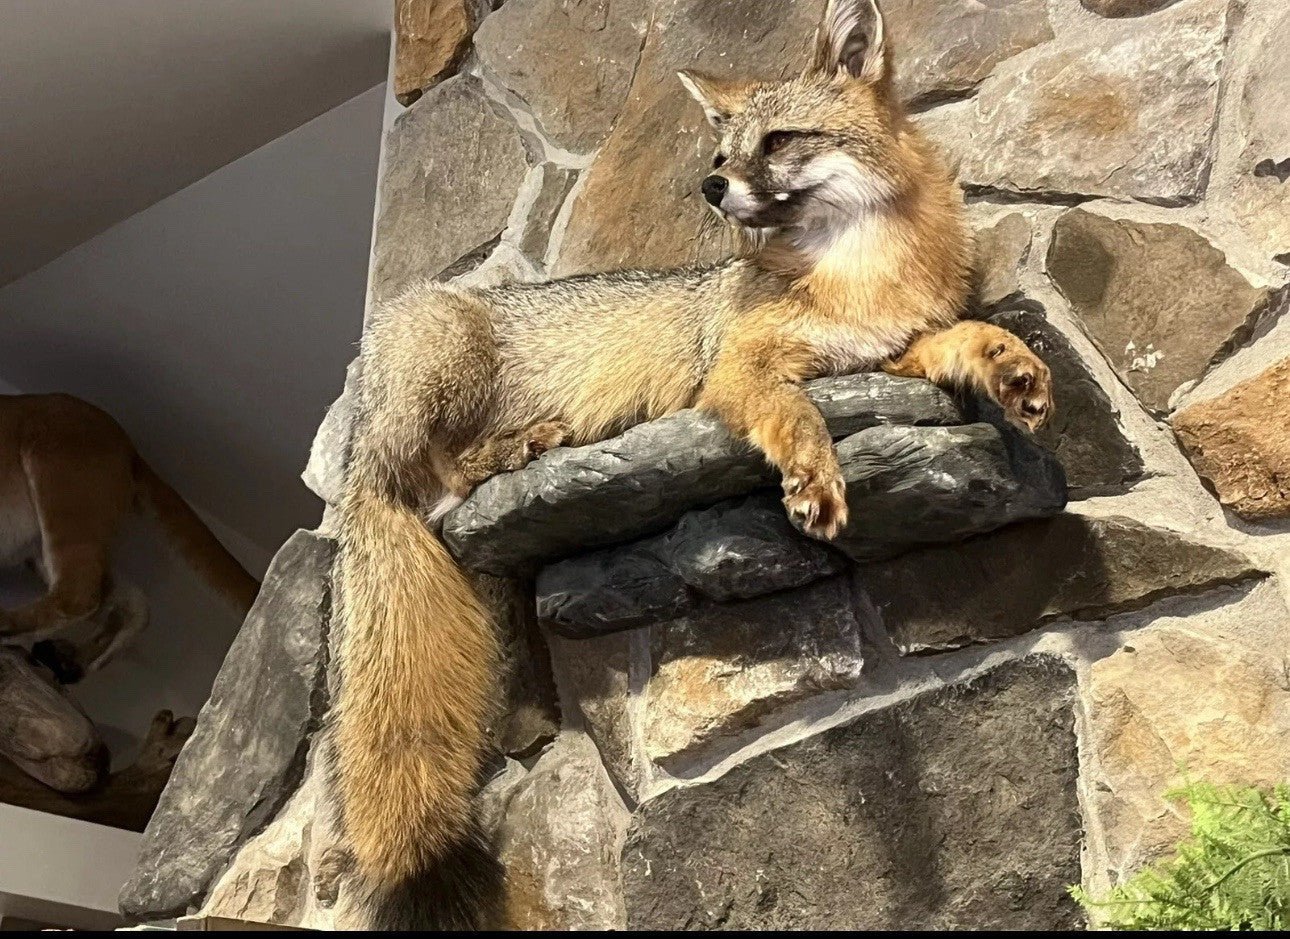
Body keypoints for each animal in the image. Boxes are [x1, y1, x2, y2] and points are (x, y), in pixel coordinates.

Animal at [332, 0, 1054, 929]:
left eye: (778, 141)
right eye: (722, 156)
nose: (710, 189)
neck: (860, 269)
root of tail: (357, 446)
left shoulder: (889, 352)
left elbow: (968, 336)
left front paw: (1016, 368)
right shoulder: (741, 369)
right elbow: (795, 414)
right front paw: (813, 480)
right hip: (442, 363)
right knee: (443, 474)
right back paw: (515, 445)